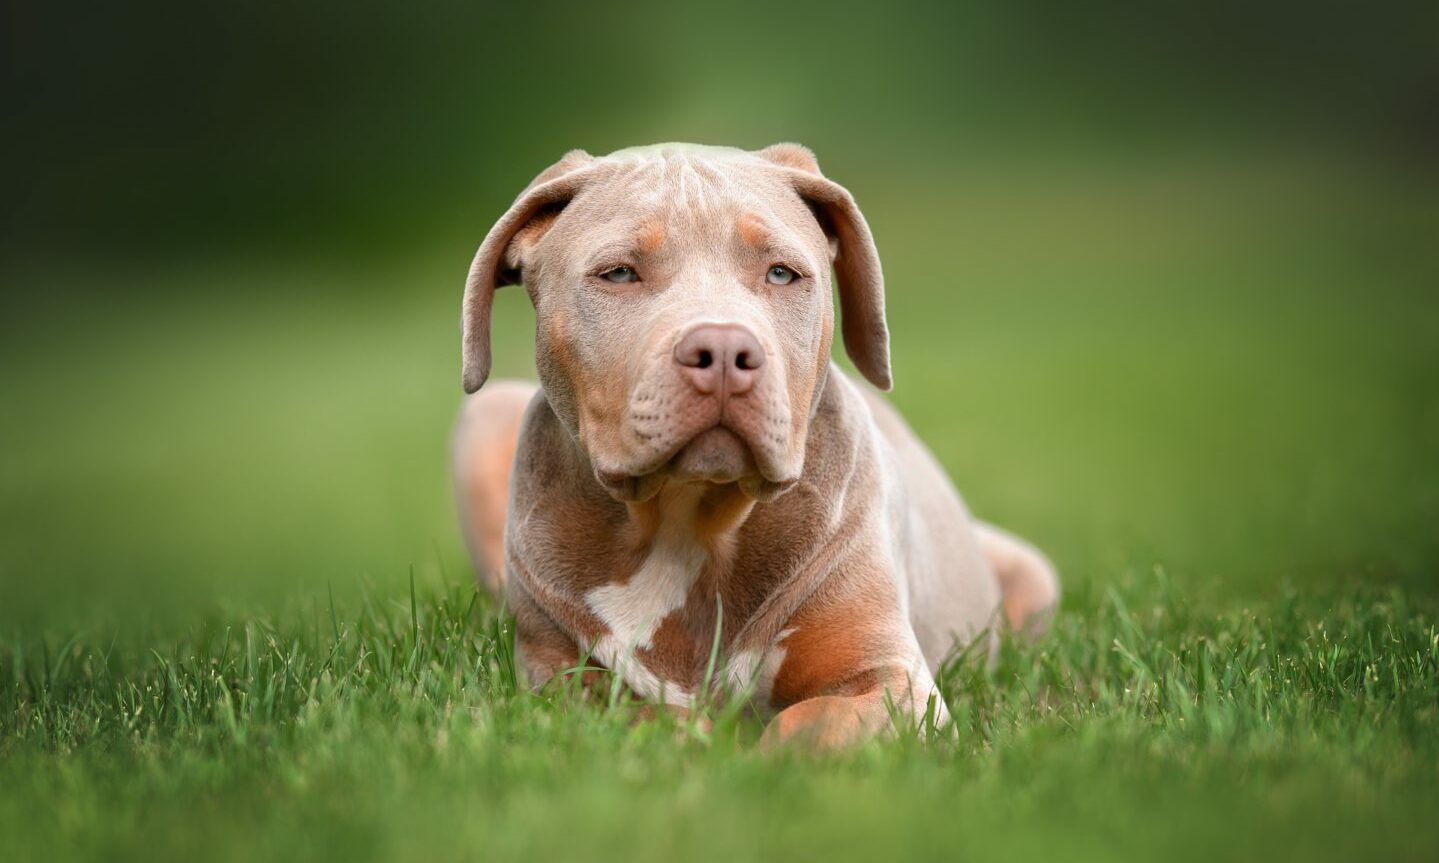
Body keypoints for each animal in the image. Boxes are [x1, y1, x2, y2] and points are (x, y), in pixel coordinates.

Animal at [448, 143, 1059, 747]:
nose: (722, 351)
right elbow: (640, 717)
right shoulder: (558, 684)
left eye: (781, 273)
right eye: (619, 273)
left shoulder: (894, 684)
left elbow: (804, 726)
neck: (686, 522)